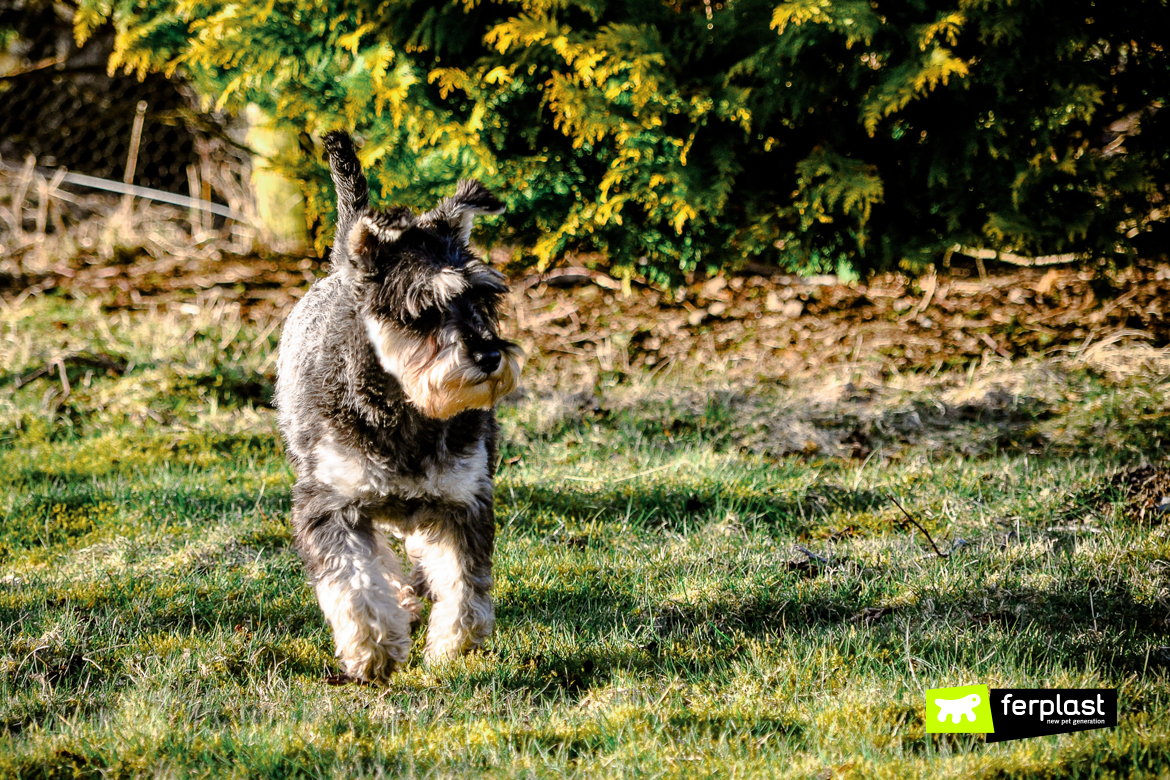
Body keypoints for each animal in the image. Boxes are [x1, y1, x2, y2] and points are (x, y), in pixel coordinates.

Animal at [273, 130, 521, 678]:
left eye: (485, 299)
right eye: (424, 309)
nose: (490, 355)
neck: (408, 408)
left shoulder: (464, 499)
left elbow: (466, 586)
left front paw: (452, 646)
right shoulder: (330, 503)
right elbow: (354, 583)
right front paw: (375, 649)